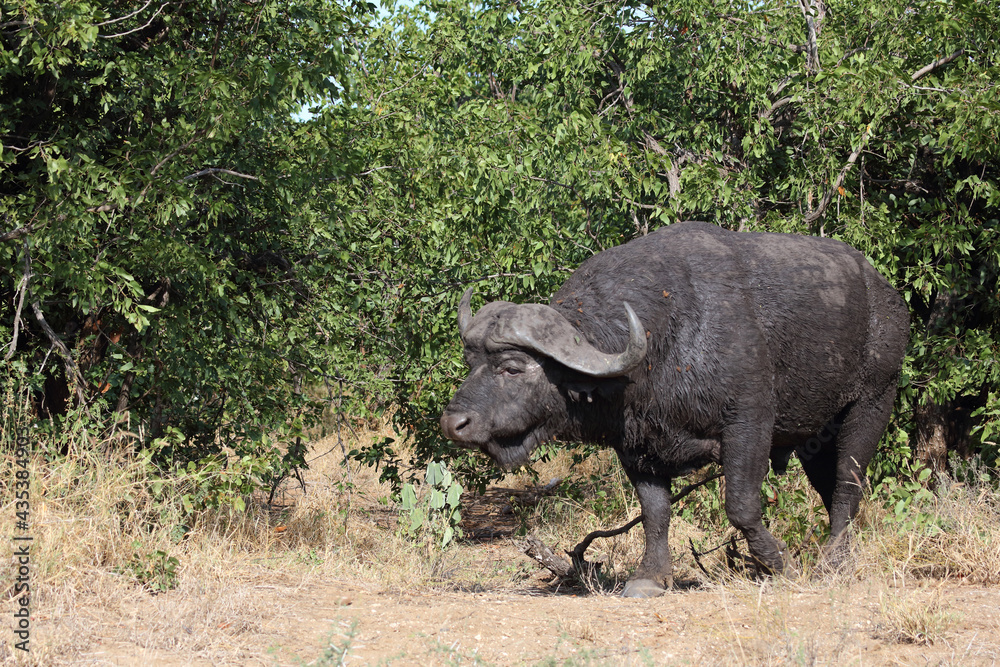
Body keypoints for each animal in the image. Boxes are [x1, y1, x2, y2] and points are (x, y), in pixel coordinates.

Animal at [440, 221, 908, 597]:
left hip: (871, 404)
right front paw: (651, 577)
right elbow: (655, 513)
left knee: (848, 485)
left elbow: (741, 504)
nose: (454, 423)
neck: (662, 342)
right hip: (816, 438)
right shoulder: (636, 447)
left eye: (512, 367)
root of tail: (888, 299)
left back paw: (833, 562)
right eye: (470, 362)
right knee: (831, 489)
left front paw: (778, 561)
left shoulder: (749, 423)